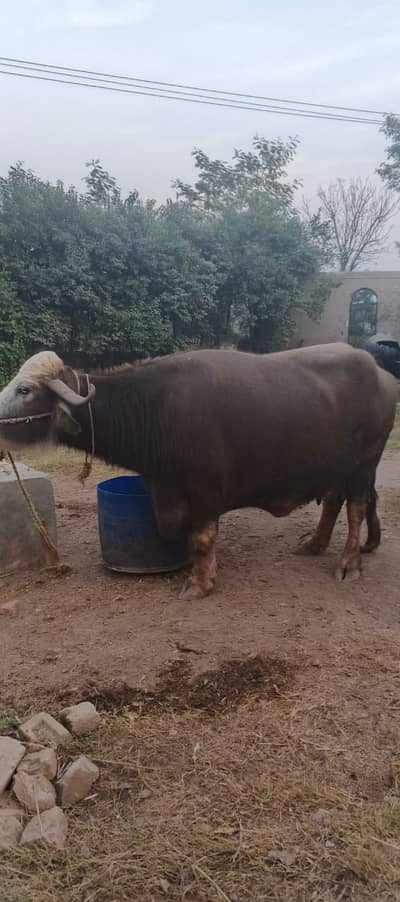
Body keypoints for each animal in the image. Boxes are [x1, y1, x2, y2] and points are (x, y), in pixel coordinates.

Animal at [0, 344, 396, 597]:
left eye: (25, 389)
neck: (156, 408)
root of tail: (383, 375)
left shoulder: (204, 489)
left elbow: (202, 537)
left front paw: (200, 583)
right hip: (334, 467)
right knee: (332, 502)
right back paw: (314, 544)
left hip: (364, 465)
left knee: (356, 509)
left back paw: (349, 564)